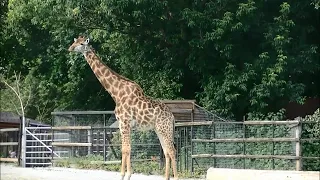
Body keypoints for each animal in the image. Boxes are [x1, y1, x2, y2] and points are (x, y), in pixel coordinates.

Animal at [68, 35, 178, 179]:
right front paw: (126, 174)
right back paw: (166, 177)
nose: (70, 48)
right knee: (166, 151)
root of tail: (172, 117)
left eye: (81, 44)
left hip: (165, 129)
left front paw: (124, 175)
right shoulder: (123, 124)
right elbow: (125, 149)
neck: (115, 93)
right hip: (159, 130)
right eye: (74, 41)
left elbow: (126, 149)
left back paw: (176, 177)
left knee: (172, 150)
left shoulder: (124, 123)